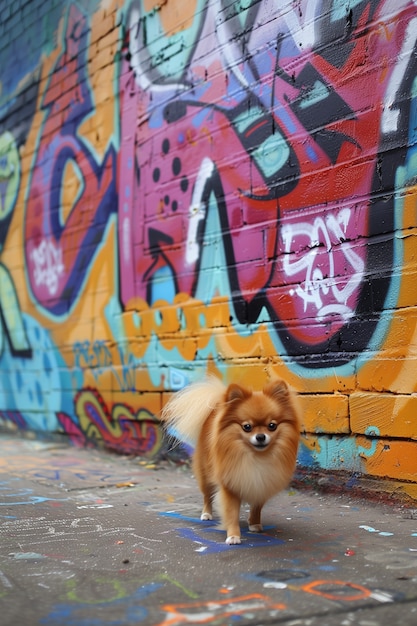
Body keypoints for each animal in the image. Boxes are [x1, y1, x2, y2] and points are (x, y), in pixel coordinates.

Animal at [159, 376, 300, 540]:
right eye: (247, 427)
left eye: (272, 426)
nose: (260, 437)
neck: (255, 457)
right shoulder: (230, 485)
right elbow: (231, 513)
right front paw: (233, 536)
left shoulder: (261, 484)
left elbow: (256, 507)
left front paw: (254, 523)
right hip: (206, 475)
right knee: (207, 496)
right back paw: (206, 514)